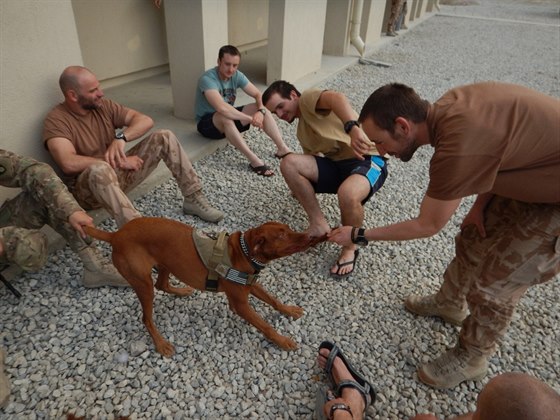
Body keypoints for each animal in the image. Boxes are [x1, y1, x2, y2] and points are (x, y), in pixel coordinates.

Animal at [83, 217, 324, 358]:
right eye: (282, 235)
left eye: (288, 229)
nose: (310, 236)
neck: (244, 252)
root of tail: (116, 234)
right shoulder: (239, 304)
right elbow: (266, 326)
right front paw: (283, 340)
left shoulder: (251, 284)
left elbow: (273, 300)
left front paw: (289, 310)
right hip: (143, 283)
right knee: (146, 317)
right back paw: (161, 344)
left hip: (166, 263)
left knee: (163, 284)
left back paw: (182, 291)